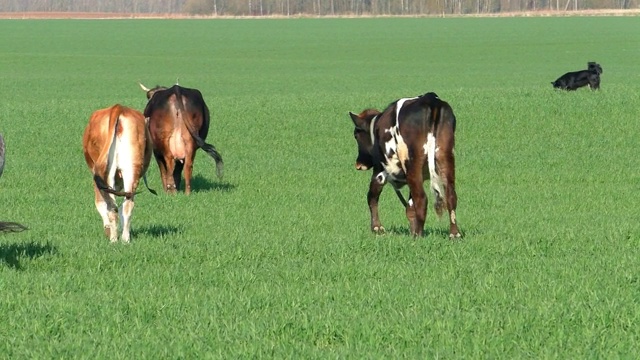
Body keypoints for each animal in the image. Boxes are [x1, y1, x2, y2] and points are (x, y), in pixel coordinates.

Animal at [82, 105, 154, 243]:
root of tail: (118, 108)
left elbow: (100, 204)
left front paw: (107, 229)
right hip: (131, 169)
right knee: (127, 205)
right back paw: (125, 239)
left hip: (107, 173)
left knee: (112, 206)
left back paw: (114, 239)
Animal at [350, 93, 460, 239]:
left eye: (356, 135)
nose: (359, 164)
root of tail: (431, 100)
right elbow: (410, 207)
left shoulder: (380, 171)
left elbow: (372, 197)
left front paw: (377, 228)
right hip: (445, 159)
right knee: (451, 196)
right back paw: (454, 234)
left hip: (412, 164)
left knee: (422, 199)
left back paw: (418, 236)